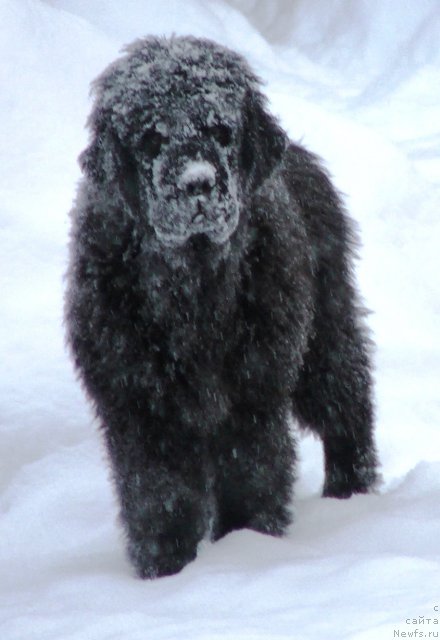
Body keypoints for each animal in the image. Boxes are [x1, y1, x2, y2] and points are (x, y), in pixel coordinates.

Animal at [65, 35, 378, 576]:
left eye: (221, 131)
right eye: (151, 138)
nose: (197, 182)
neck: (192, 290)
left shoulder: (252, 399)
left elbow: (251, 480)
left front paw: (247, 549)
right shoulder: (143, 409)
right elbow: (159, 497)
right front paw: (166, 571)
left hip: (324, 335)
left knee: (348, 402)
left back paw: (352, 491)